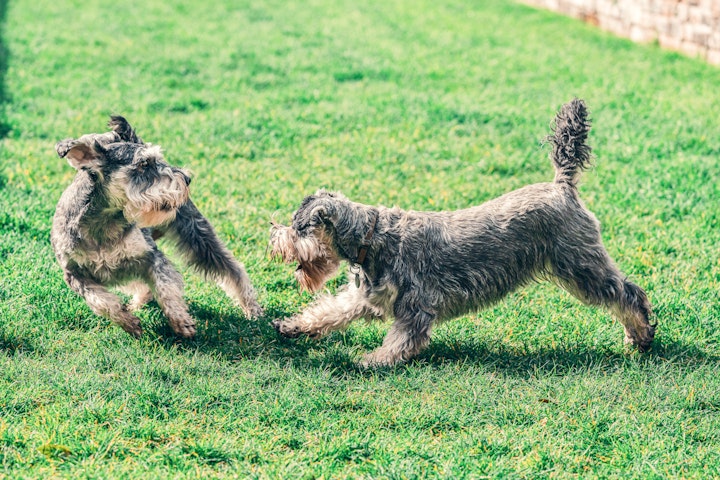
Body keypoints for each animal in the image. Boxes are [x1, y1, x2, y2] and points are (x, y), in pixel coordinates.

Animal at [51, 116, 264, 338]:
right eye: (144, 163)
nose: (186, 178)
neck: (102, 224)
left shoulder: (151, 257)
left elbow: (165, 287)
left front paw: (181, 321)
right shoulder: (75, 275)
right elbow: (102, 302)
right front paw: (129, 322)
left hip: (198, 236)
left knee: (233, 269)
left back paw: (252, 308)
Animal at [268, 99, 656, 366]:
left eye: (299, 226)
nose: (273, 236)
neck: (372, 238)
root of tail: (563, 186)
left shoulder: (416, 306)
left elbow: (401, 340)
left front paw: (373, 360)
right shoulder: (366, 297)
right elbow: (329, 310)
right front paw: (293, 326)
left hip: (581, 267)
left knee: (629, 295)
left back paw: (640, 337)